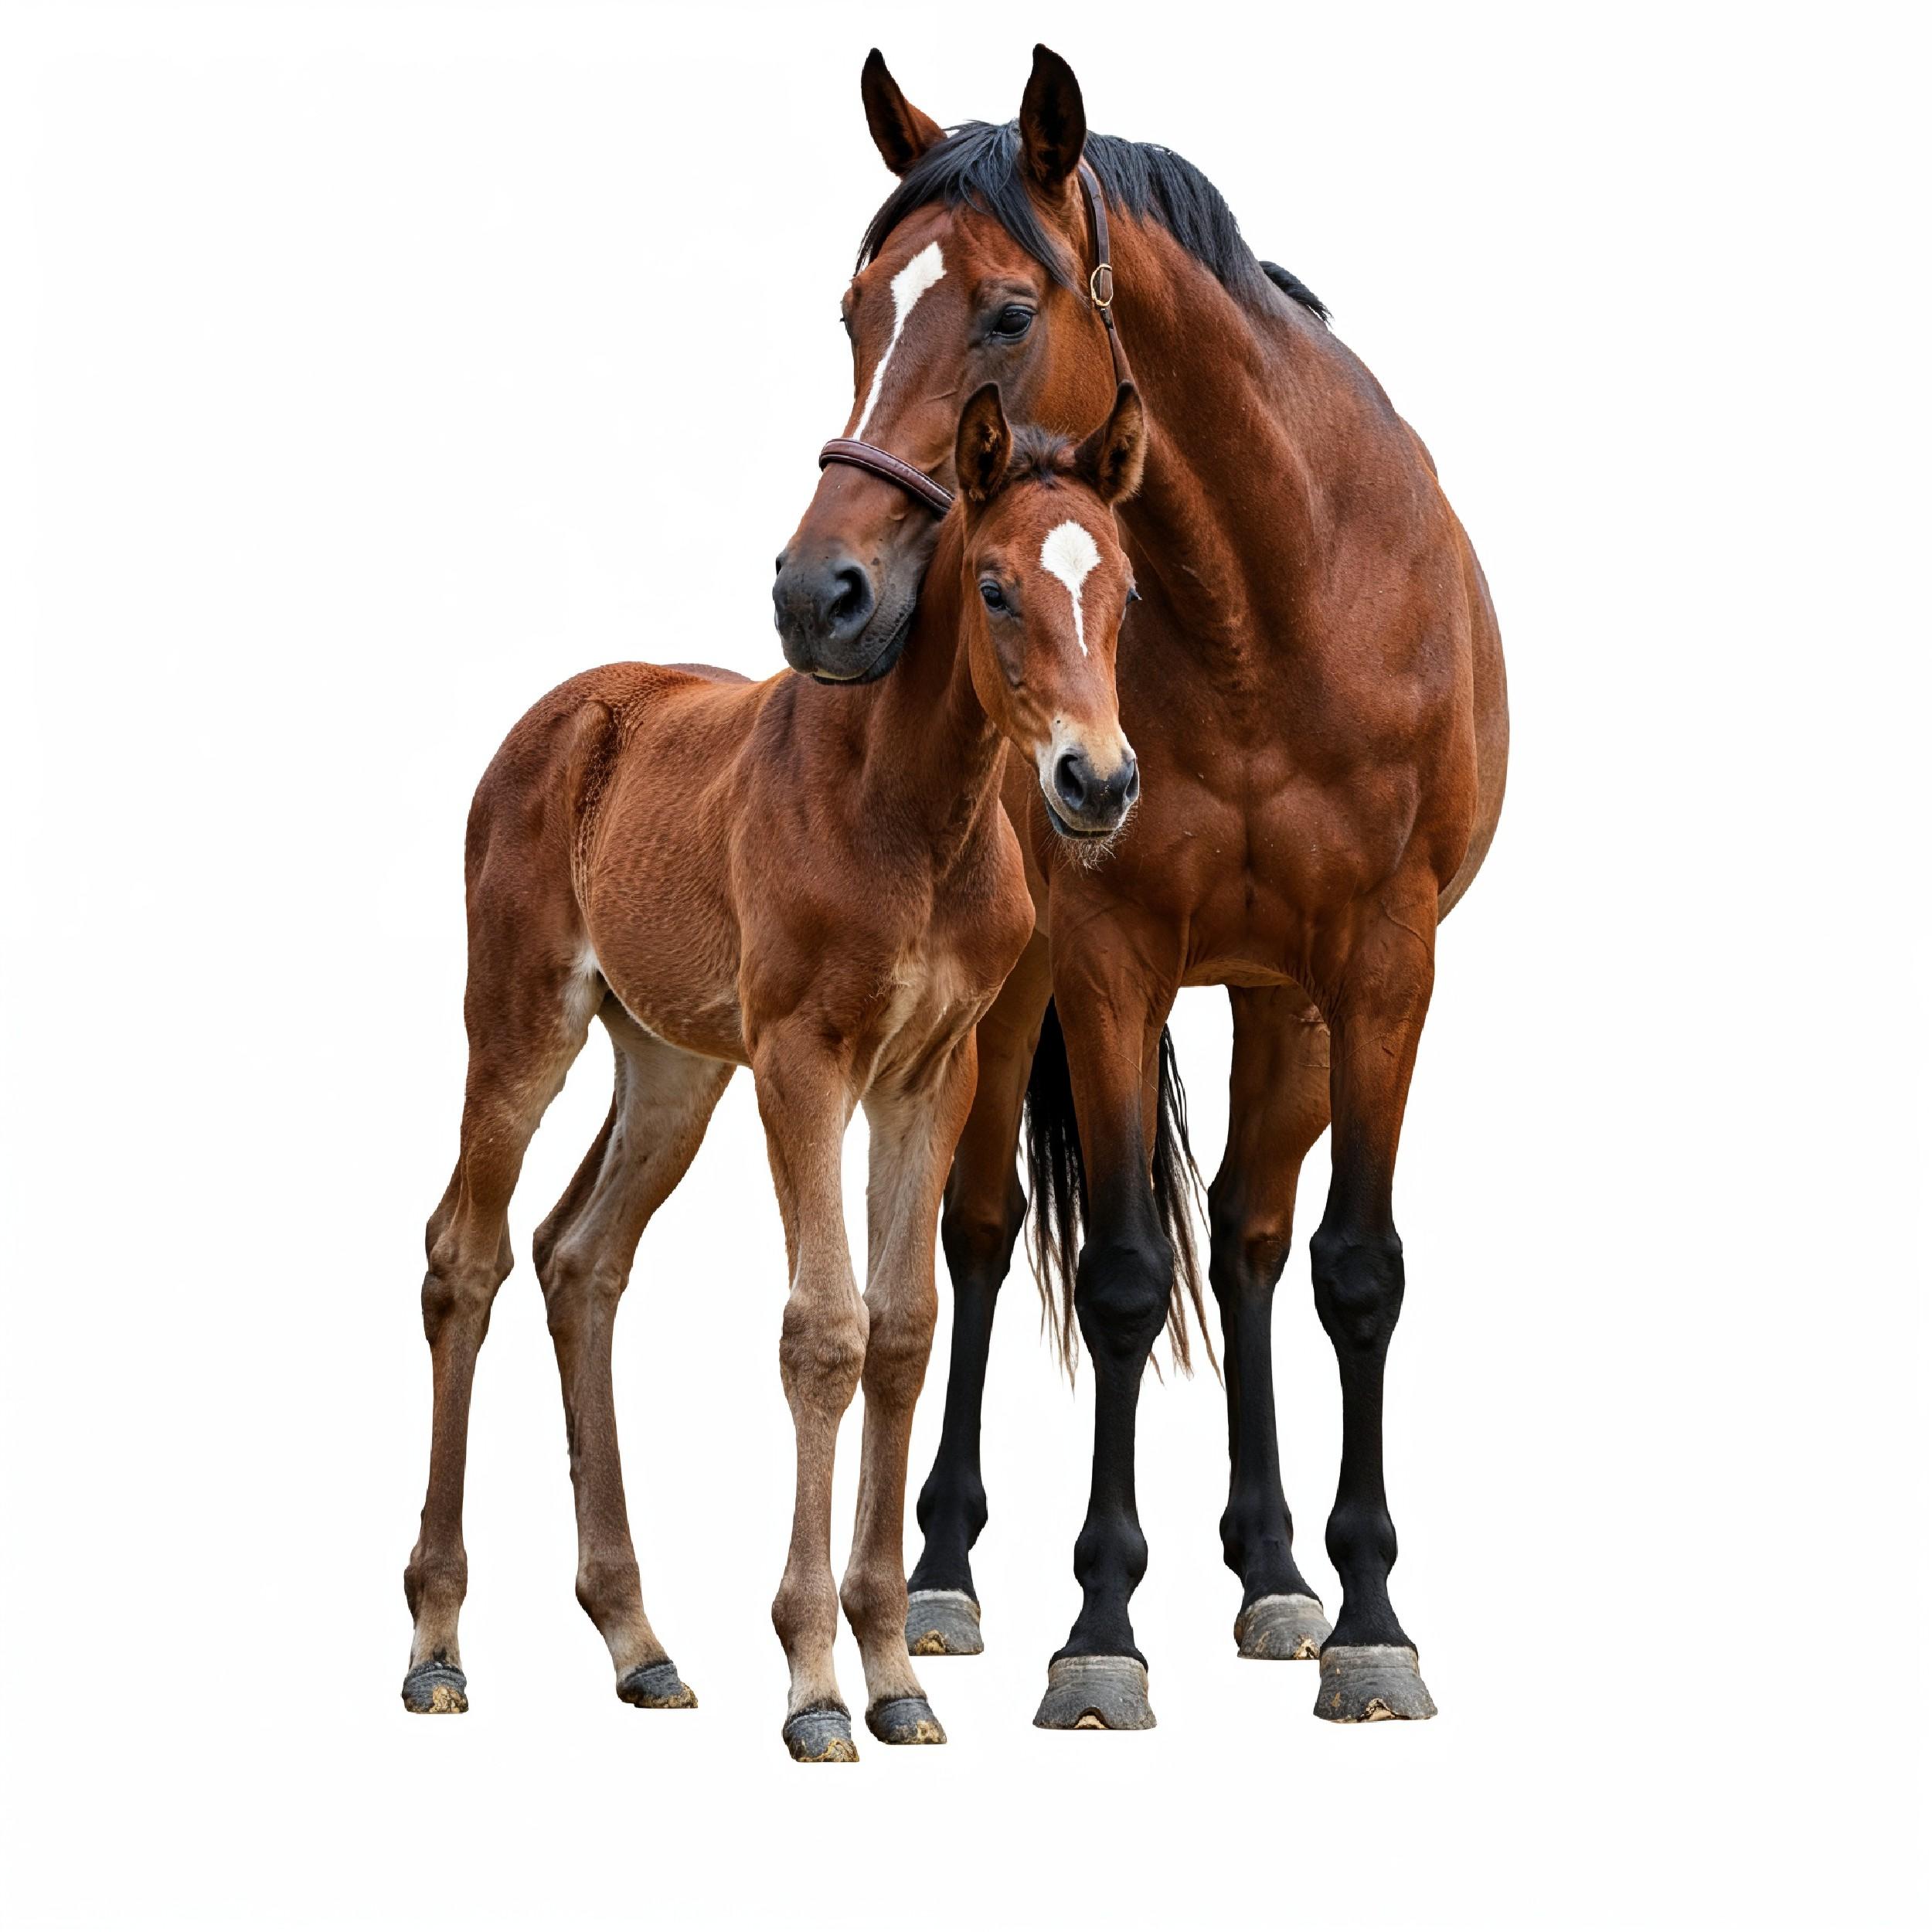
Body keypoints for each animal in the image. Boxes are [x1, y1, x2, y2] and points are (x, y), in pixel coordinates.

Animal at [400, 380, 1147, 1759]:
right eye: (999, 587)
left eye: (1122, 587)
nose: (1098, 780)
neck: (910, 816)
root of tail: (562, 713)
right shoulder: (803, 1062)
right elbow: (824, 1332)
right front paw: (813, 1685)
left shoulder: (931, 1073)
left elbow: (902, 1331)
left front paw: (896, 1671)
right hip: (522, 1022)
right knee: (463, 1258)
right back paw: (434, 1643)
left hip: (672, 1068)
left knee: (580, 1258)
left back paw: (639, 1643)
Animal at [772, 46, 1508, 1729]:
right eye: (855, 310)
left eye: (1002, 311)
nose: (816, 594)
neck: (1271, 604)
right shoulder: (1108, 960)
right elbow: (1113, 1276)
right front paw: (1099, 1630)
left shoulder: (1380, 967)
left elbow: (1351, 1268)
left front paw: (1367, 1617)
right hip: (1010, 1005)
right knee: (980, 1234)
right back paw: (947, 1572)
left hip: (1282, 1000)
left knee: (1247, 1236)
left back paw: (1275, 1569)